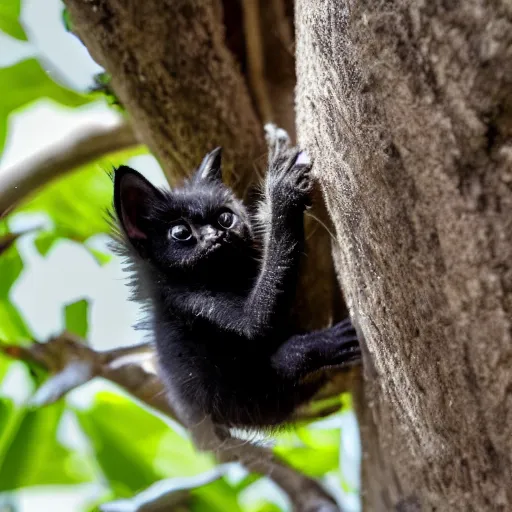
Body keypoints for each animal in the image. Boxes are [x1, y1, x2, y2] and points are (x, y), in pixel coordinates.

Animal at [112, 126, 360, 430]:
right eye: (181, 232)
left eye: (225, 218)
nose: (217, 235)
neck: (226, 275)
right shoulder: (191, 299)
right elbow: (255, 323)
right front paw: (281, 191)